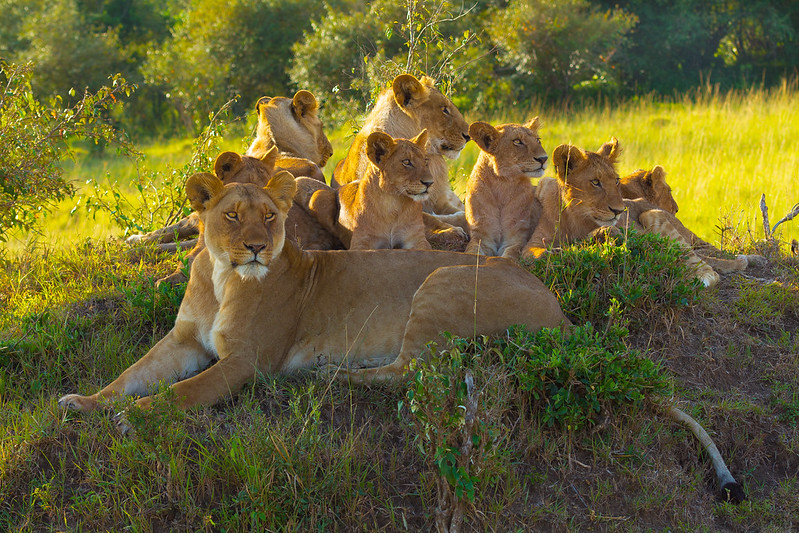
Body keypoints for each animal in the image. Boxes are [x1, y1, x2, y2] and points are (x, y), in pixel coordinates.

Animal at [57, 172, 568, 426]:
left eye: (269, 216)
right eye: (232, 216)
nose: (257, 247)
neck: (222, 276)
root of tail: (560, 309)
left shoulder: (248, 361)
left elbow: (183, 392)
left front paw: (133, 416)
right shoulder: (183, 341)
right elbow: (131, 375)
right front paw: (85, 402)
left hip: (442, 278)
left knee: (410, 372)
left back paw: (331, 375)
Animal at [462, 117, 552, 258]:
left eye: (538, 140)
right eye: (517, 141)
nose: (544, 158)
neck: (502, 184)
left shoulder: (516, 239)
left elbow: (509, 256)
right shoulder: (481, 237)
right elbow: (472, 252)